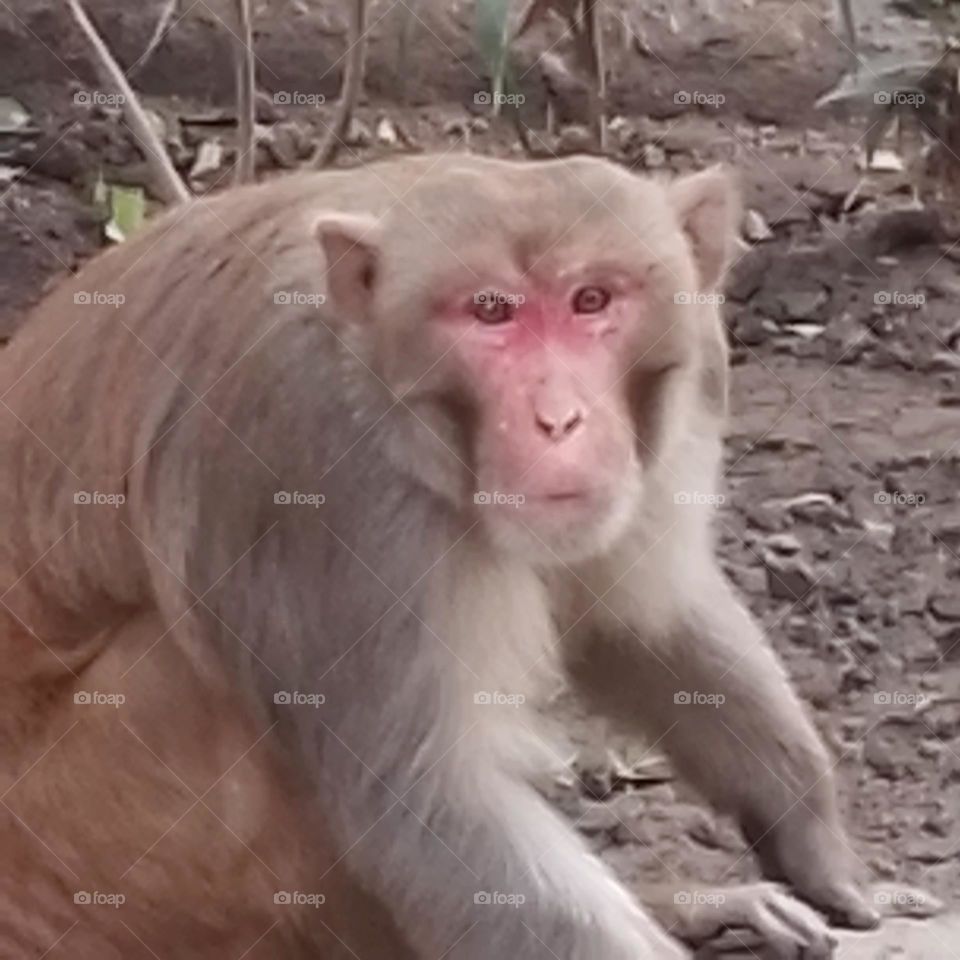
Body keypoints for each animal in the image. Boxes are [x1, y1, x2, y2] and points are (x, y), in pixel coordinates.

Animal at [0, 153, 878, 959]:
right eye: (491, 312)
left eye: (592, 300)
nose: (558, 418)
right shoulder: (321, 475)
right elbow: (425, 801)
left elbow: (639, 623)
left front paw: (812, 833)